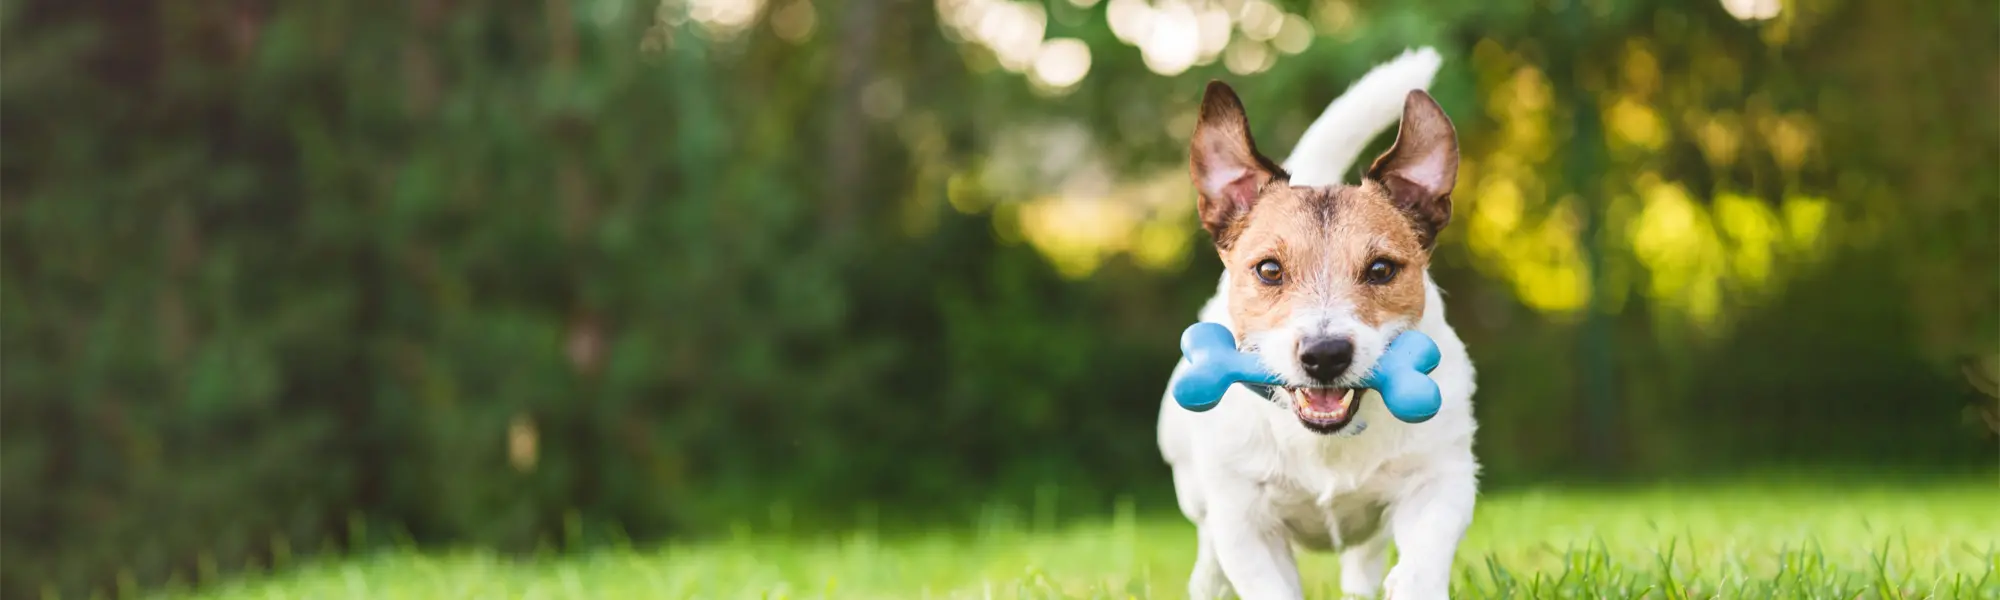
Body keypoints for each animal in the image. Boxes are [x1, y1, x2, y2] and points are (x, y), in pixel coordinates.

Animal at [1160, 48, 1488, 600]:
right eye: (1270, 270)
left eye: (1382, 269)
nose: (1325, 355)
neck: (1326, 440)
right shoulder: (1244, 520)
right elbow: (1261, 578)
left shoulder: (1441, 480)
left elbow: (1422, 561)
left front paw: (1412, 581)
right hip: (1195, 488)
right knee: (1207, 555)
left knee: (1363, 559)